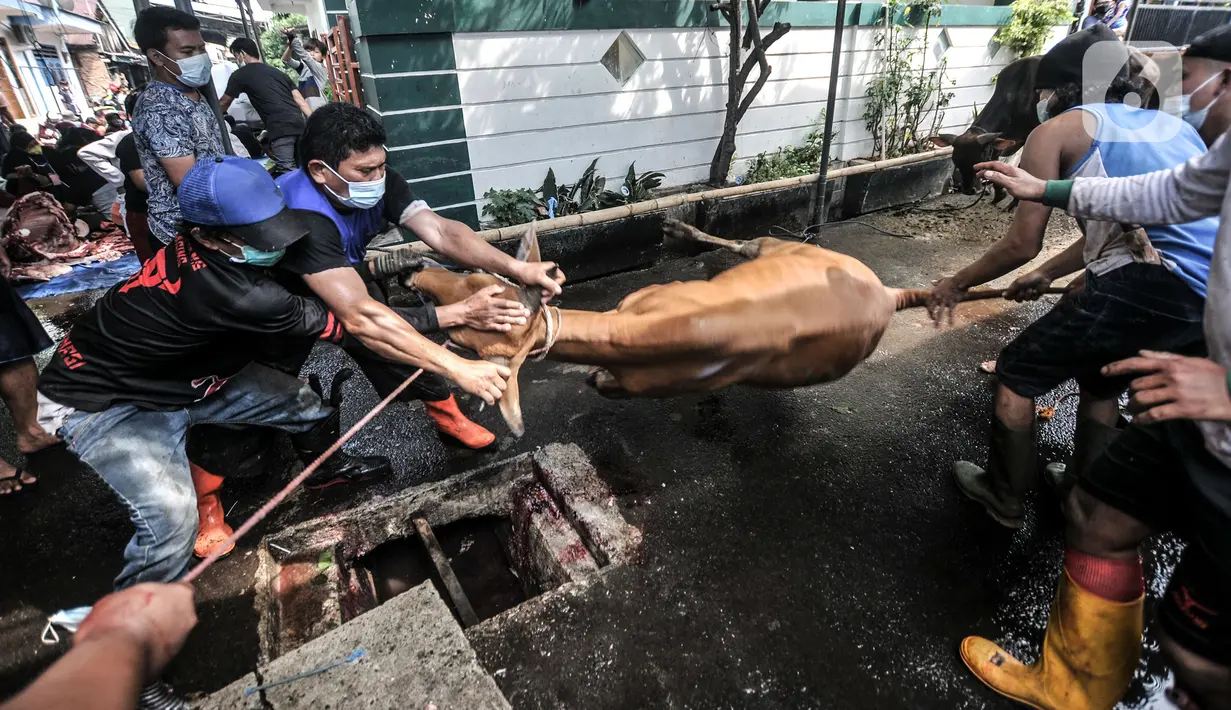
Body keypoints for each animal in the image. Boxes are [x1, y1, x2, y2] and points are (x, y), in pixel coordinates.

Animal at [413, 221, 1038, 435]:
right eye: (474, 271)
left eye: (467, 338)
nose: (418, 276)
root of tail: (889, 291)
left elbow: (604, 384)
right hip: (776, 249)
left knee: (741, 241)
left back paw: (678, 227)